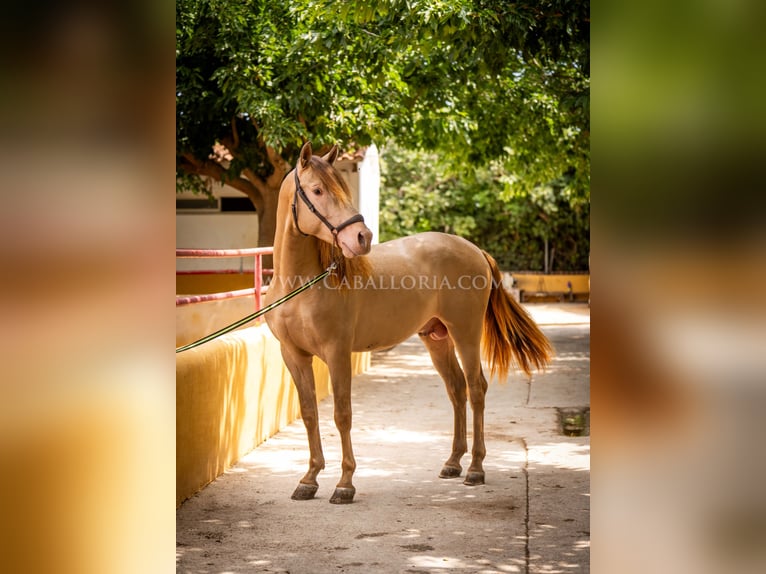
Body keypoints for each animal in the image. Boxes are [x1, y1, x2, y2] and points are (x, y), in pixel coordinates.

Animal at [264, 143, 552, 504]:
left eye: (342, 188)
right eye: (317, 190)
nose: (362, 236)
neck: (302, 285)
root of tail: (475, 249)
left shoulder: (337, 353)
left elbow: (342, 414)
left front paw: (345, 484)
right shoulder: (294, 355)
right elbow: (309, 413)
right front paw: (309, 479)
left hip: (466, 334)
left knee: (476, 389)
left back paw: (475, 468)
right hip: (437, 338)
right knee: (456, 389)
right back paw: (453, 463)